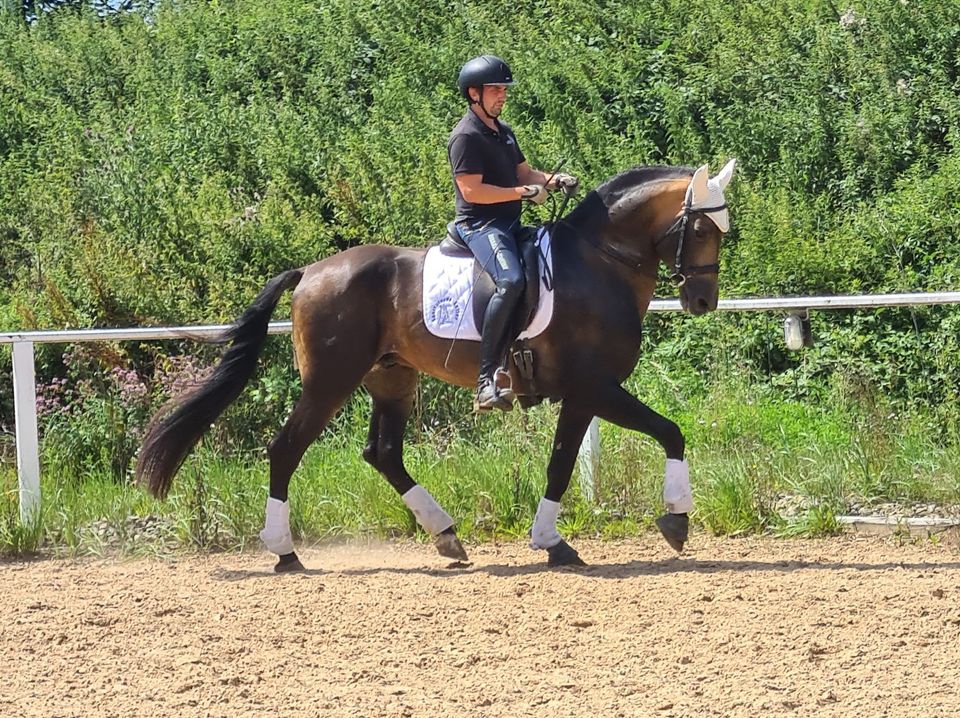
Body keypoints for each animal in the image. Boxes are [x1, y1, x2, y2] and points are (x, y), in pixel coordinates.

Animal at [135, 160, 736, 572]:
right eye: (702, 230)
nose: (702, 300)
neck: (598, 261)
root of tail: (310, 271)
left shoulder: (584, 393)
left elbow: (563, 464)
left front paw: (553, 542)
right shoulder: (593, 386)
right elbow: (665, 433)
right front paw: (676, 519)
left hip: (392, 379)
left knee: (382, 453)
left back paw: (446, 534)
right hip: (330, 383)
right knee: (285, 449)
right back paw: (285, 553)